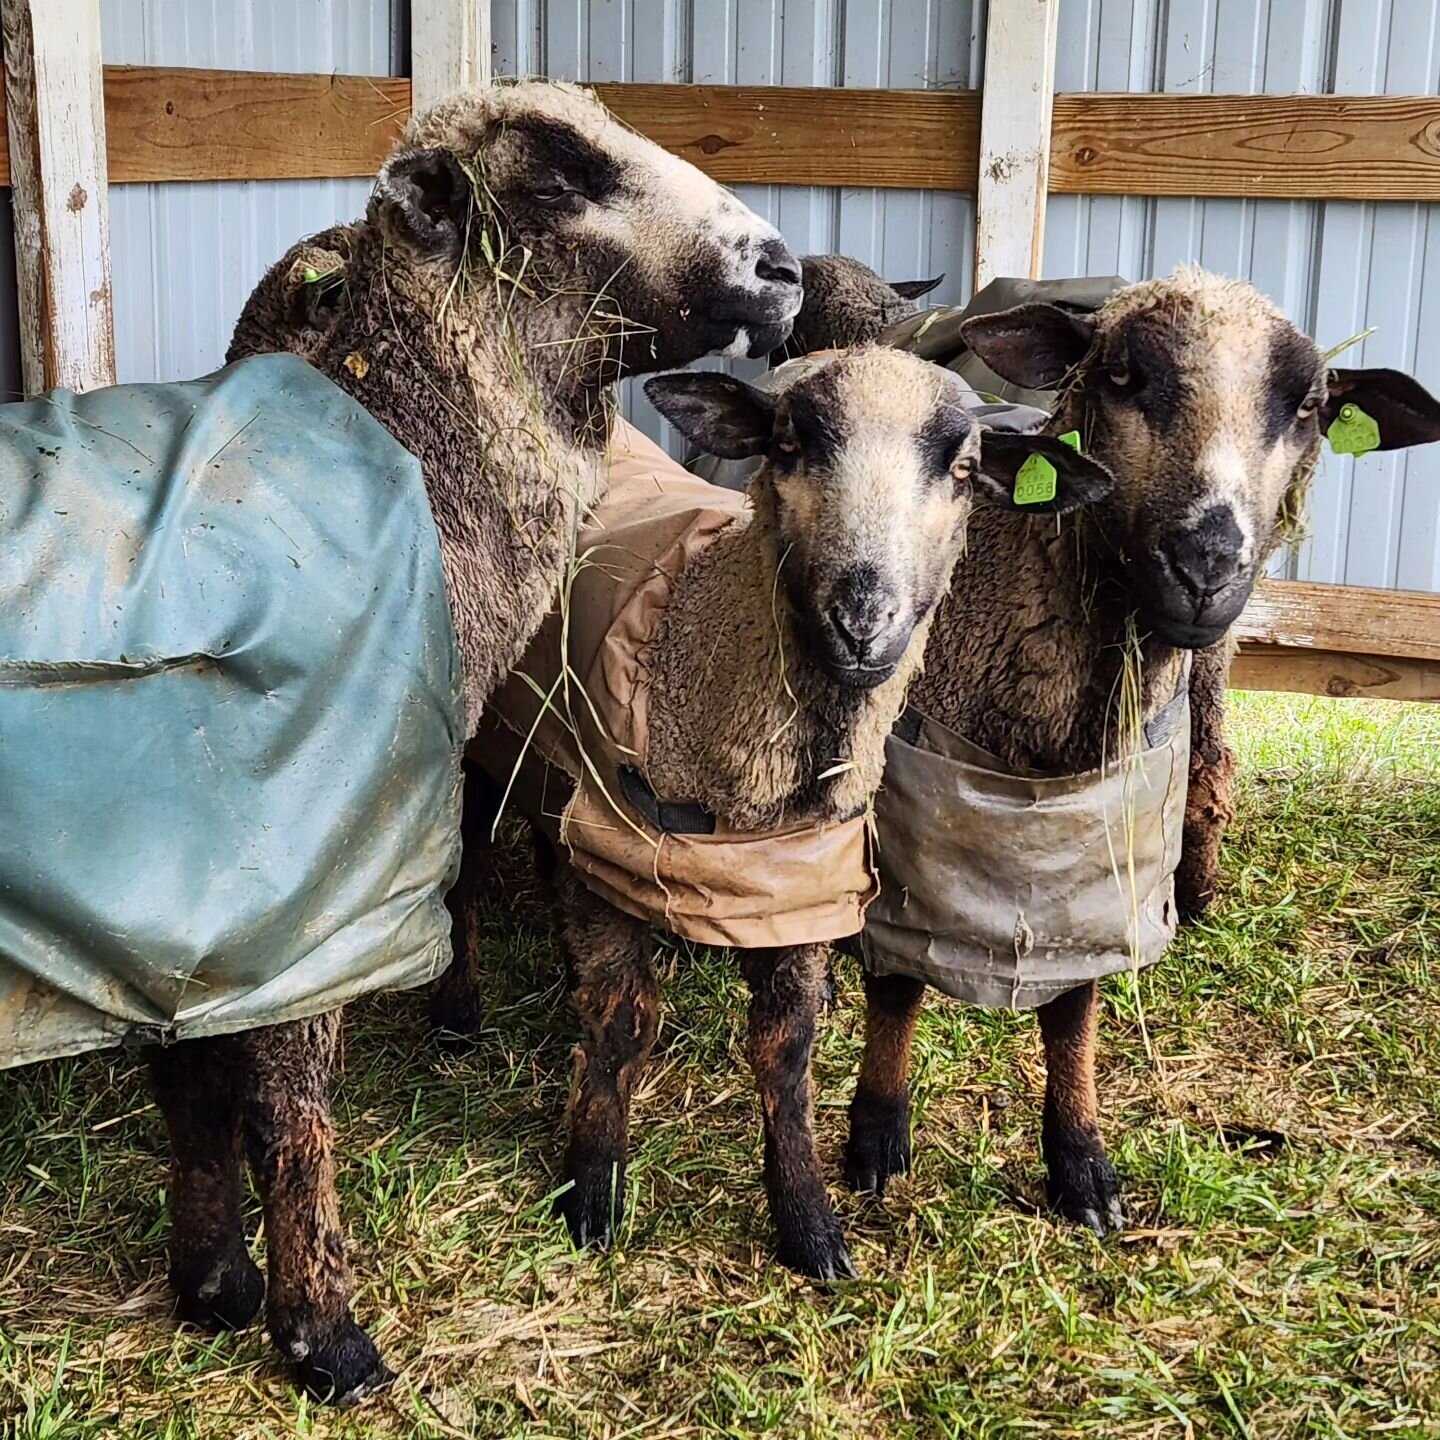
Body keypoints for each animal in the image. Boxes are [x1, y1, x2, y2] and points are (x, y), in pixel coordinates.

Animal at [143, 81, 812, 1405]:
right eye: (553, 177)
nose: (781, 271)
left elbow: (200, 1086)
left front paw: (215, 1285)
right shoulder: (290, 869)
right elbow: (283, 1097)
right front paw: (323, 1334)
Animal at [437, 348, 1111, 1284]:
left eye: (965, 469)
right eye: (789, 444)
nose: (864, 621)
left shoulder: (795, 886)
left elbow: (785, 1052)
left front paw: (808, 1221)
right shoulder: (608, 848)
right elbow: (624, 1022)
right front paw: (593, 1188)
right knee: (465, 866)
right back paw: (456, 1011)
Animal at [840, 270, 1440, 1238]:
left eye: (1310, 405)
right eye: (1122, 377)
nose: (1206, 564)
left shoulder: (1094, 842)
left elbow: (1075, 1006)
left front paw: (1081, 1163)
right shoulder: (908, 816)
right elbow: (896, 985)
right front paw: (877, 1138)